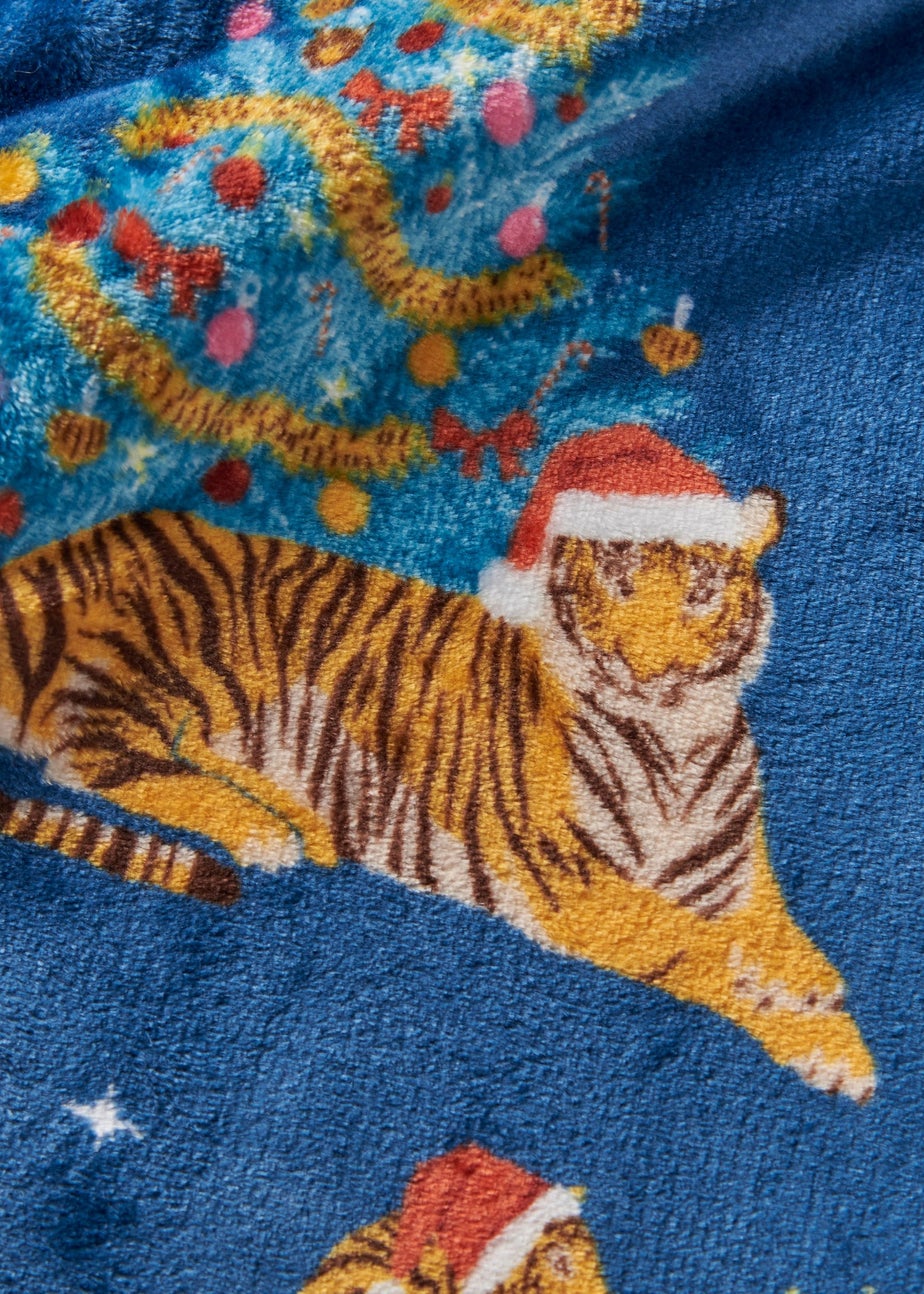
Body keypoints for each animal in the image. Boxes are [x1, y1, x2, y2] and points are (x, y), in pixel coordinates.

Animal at [0, 424, 876, 1100]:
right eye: (620, 581)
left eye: (701, 593)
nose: (647, 672)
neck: (678, 740)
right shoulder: (579, 889)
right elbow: (692, 943)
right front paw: (783, 993)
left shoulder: (738, 867)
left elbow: (775, 924)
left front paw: (835, 1032)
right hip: (181, 661)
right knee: (86, 758)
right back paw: (258, 830)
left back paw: (305, 818)